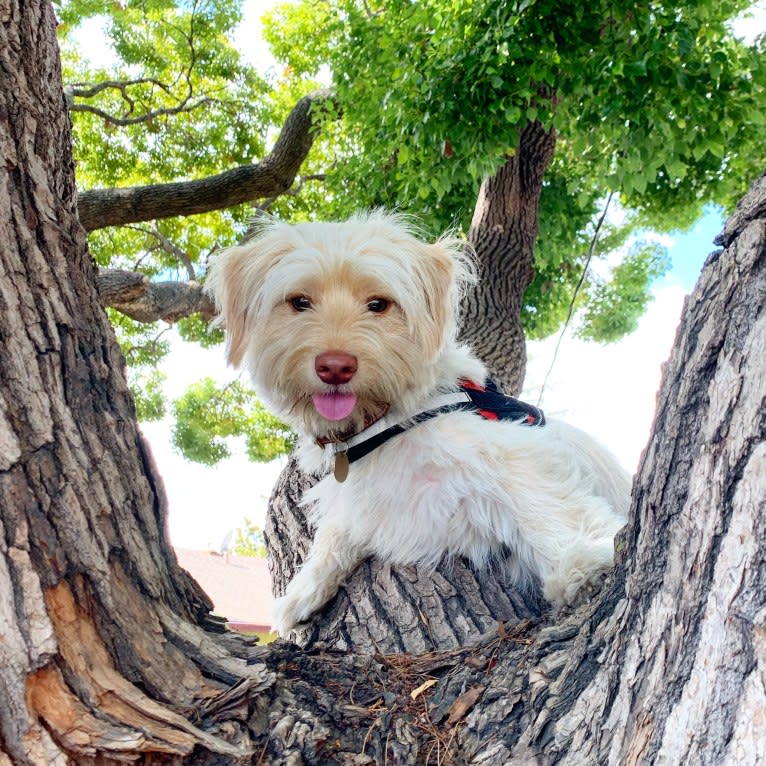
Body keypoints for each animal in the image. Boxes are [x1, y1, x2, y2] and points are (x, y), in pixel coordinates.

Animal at [207, 210, 632, 636]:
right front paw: (301, 593)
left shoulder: (512, 447)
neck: (385, 423)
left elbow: (545, 501)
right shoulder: (363, 501)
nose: (335, 367)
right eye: (299, 302)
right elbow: (334, 536)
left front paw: (582, 560)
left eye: (378, 304)